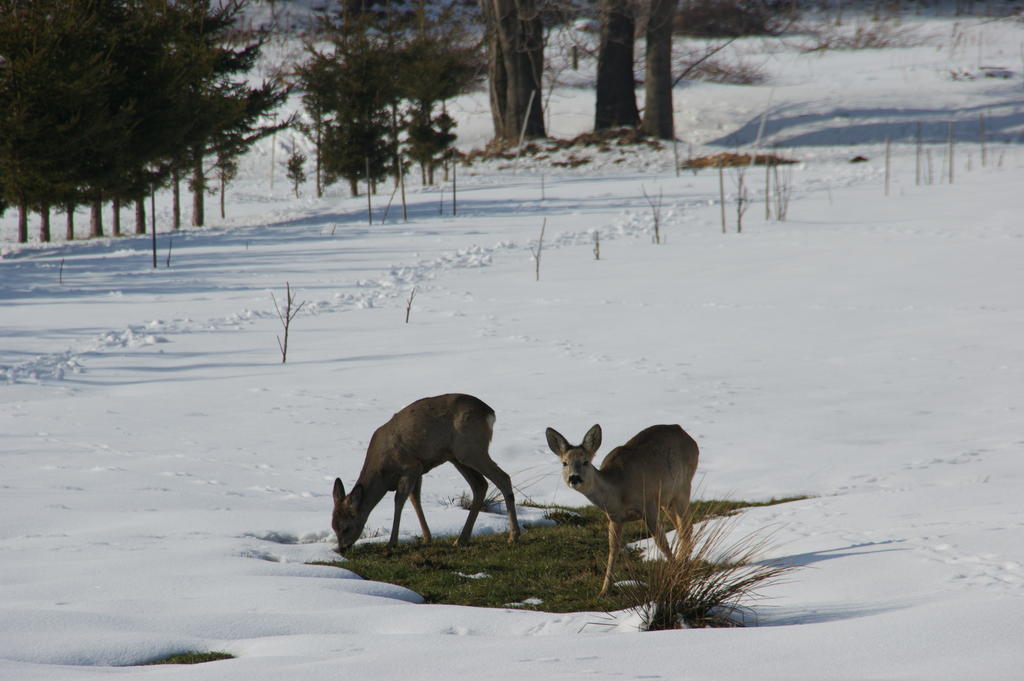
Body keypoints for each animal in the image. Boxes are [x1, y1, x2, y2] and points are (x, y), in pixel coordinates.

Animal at [331, 395, 520, 548]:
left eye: (346, 527)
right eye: (333, 526)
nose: (342, 548)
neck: (382, 474)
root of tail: (489, 412)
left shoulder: (410, 466)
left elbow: (399, 500)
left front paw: (392, 543)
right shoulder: (419, 469)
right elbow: (415, 500)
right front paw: (427, 538)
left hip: (471, 449)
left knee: (502, 477)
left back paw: (513, 536)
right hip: (457, 457)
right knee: (480, 485)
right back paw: (461, 539)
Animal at [548, 419, 700, 593]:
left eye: (586, 461)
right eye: (564, 463)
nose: (574, 478)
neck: (619, 491)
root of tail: (683, 432)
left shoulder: (649, 504)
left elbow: (661, 542)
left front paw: (674, 575)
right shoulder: (615, 517)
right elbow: (613, 548)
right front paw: (604, 590)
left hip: (683, 487)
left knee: (686, 529)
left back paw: (682, 568)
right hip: (667, 500)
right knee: (684, 529)